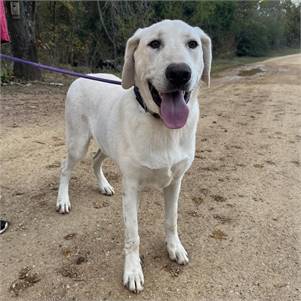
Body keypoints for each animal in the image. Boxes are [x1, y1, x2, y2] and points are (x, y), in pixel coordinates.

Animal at [56, 19, 211, 292]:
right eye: (154, 43)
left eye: (192, 43)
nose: (179, 73)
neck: (161, 125)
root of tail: (82, 77)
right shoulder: (131, 186)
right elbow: (133, 235)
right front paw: (133, 271)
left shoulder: (175, 182)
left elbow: (171, 220)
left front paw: (174, 248)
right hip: (78, 142)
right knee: (65, 166)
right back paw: (63, 200)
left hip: (106, 144)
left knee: (95, 161)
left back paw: (104, 186)